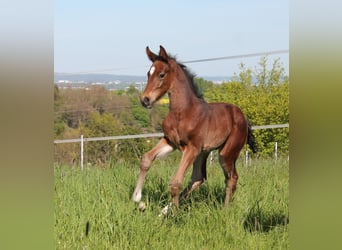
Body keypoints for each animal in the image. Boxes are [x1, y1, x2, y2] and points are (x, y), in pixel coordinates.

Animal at [132, 45, 255, 209]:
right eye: (148, 73)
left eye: (161, 74)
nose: (145, 100)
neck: (182, 112)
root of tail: (244, 118)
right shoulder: (170, 141)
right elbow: (146, 159)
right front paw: (137, 197)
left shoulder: (192, 147)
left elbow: (176, 182)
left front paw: (175, 213)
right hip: (204, 151)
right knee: (199, 177)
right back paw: (163, 211)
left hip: (226, 153)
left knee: (232, 177)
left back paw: (225, 209)